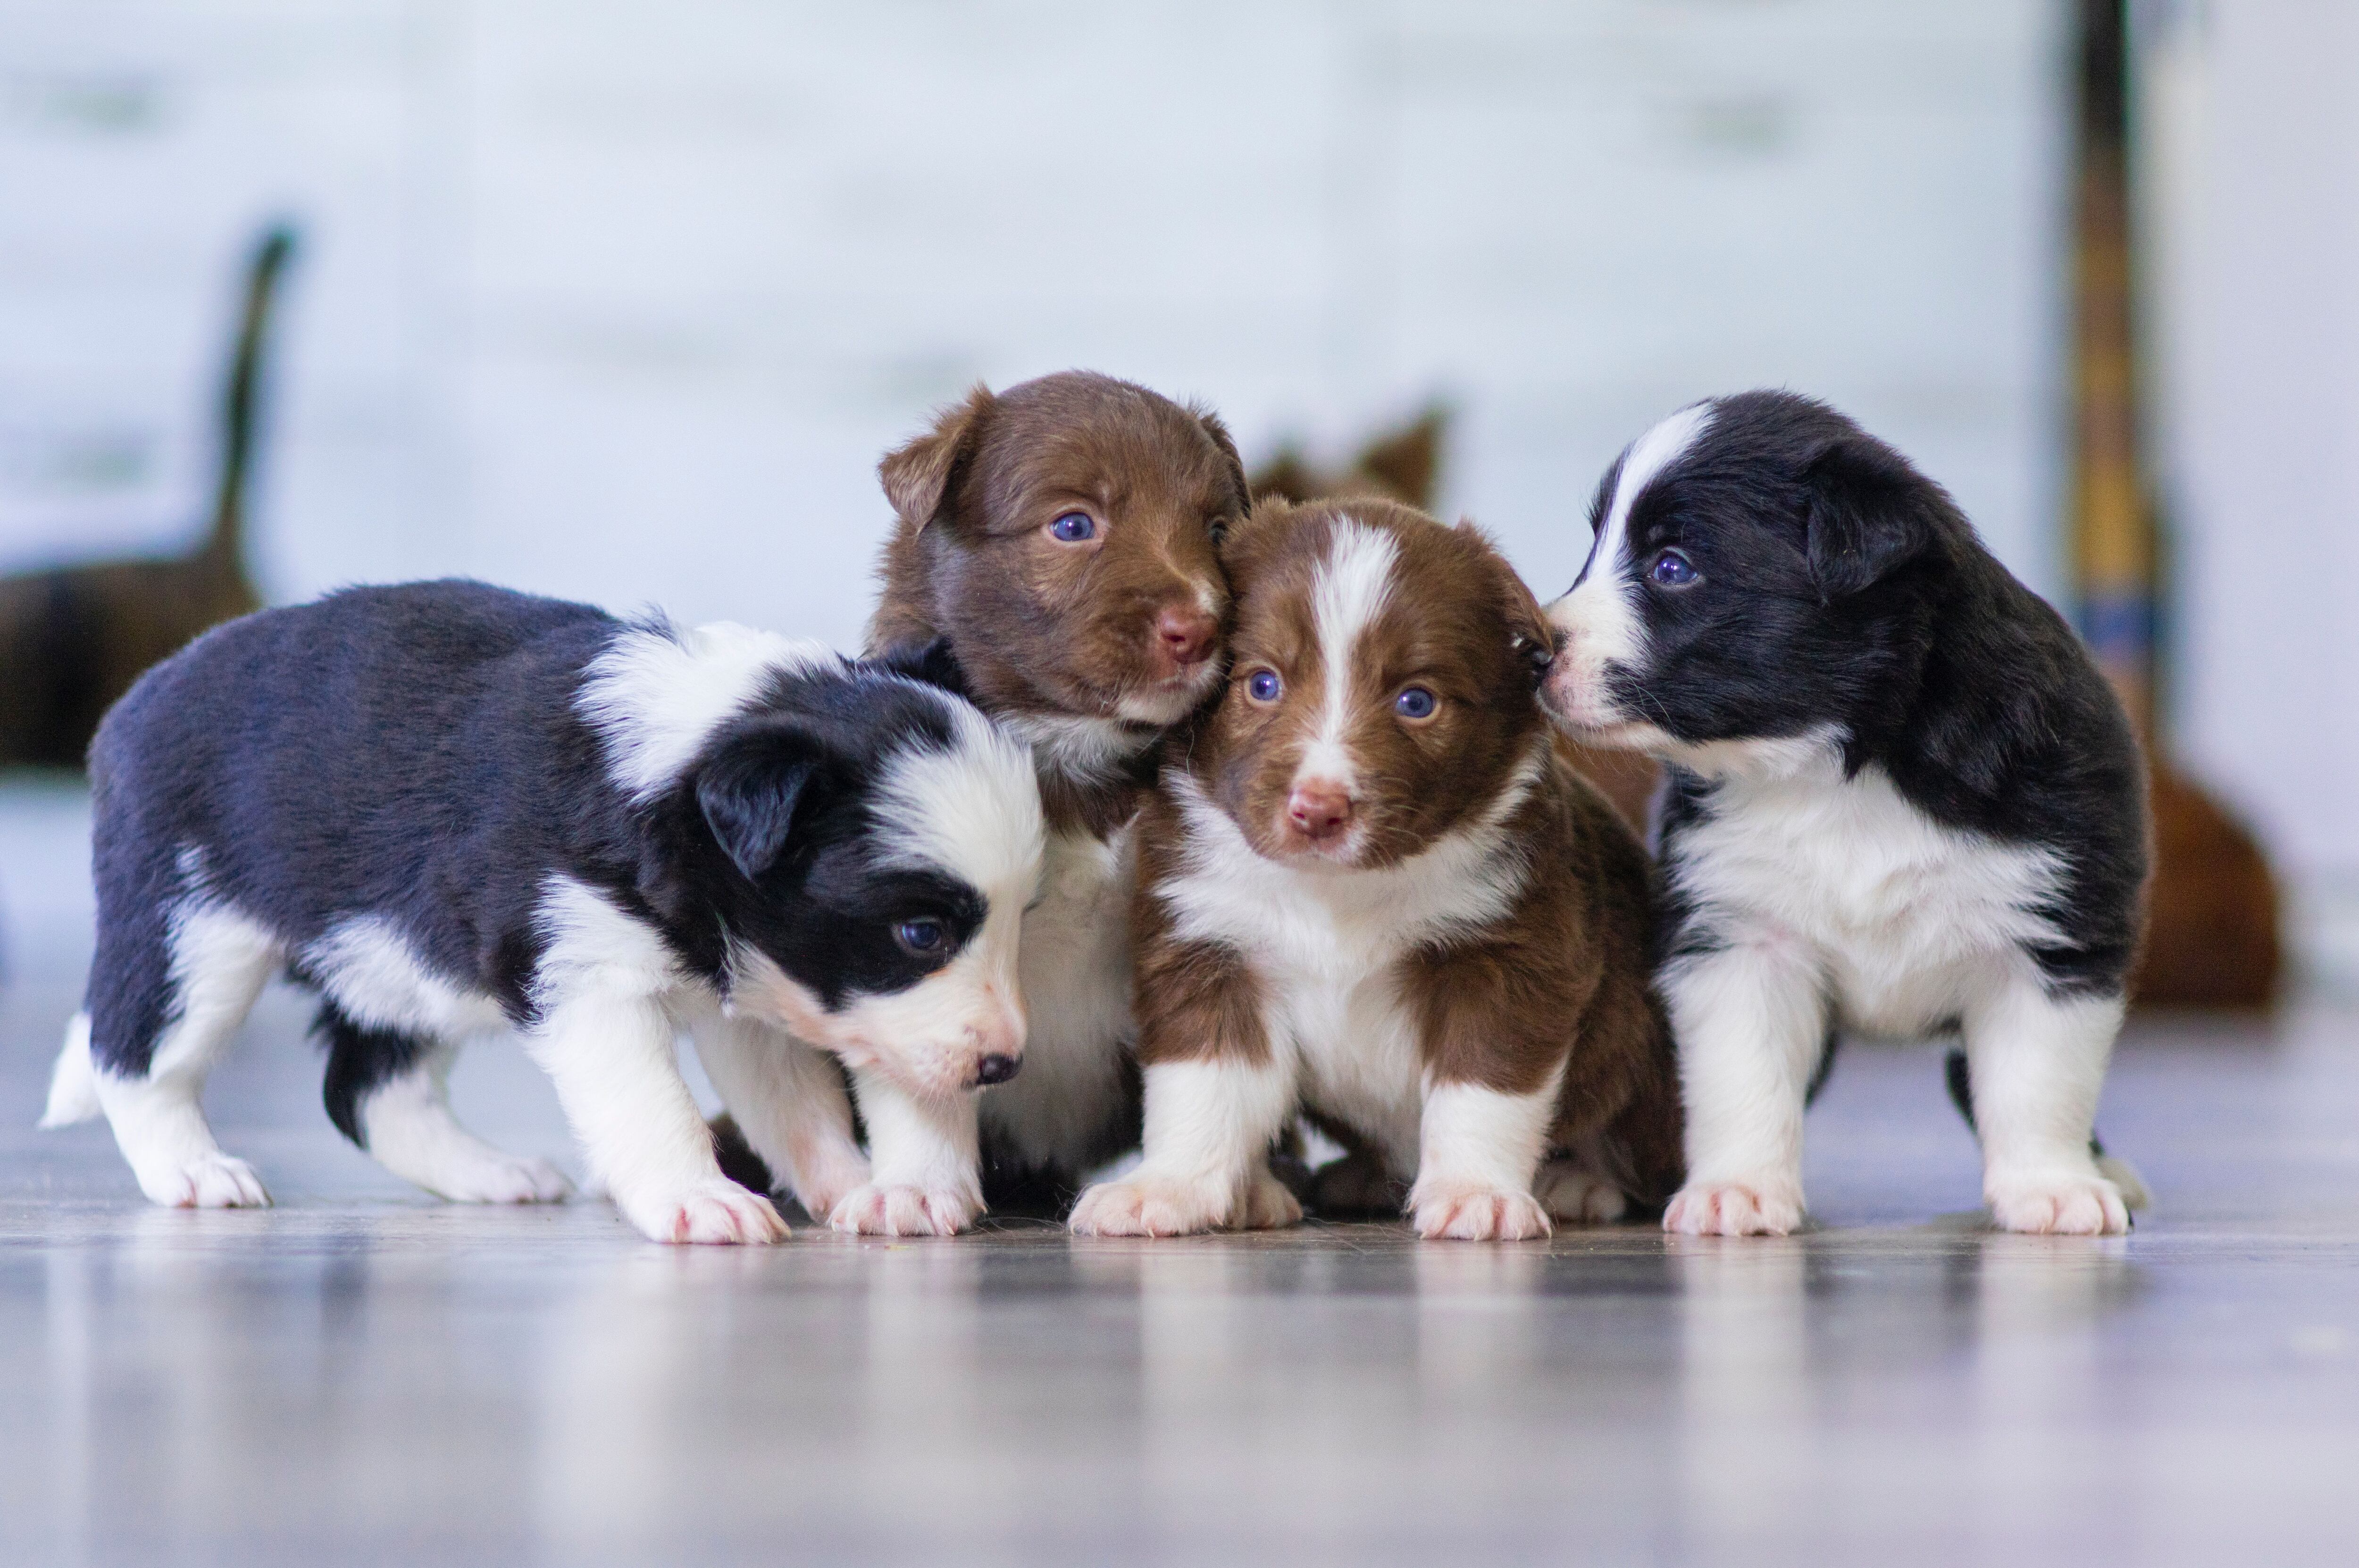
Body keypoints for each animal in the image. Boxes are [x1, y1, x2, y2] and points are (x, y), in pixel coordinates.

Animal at [32, 580, 1047, 1245]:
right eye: (920, 934)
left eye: (1021, 919)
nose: (1004, 1065)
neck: (683, 769)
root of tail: (137, 699)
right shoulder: (586, 977)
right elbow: (653, 1105)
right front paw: (699, 1200)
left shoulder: (755, 990)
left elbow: (795, 1106)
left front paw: (860, 1189)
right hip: (195, 924)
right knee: (136, 1054)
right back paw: (193, 1171)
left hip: (401, 960)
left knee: (366, 1089)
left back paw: (488, 1173)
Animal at [1071, 497, 1680, 1235]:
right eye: (1262, 684)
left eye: (1416, 701)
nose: (1317, 811)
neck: (1338, 890)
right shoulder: (1208, 946)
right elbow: (1201, 1083)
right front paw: (1164, 1187)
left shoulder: (1509, 952)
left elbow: (1482, 1088)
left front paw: (1474, 1194)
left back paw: (1578, 1183)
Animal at [1538, 391, 2151, 1235]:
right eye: (1594, 547)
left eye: (1673, 567)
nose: (1534, 648)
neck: (1835, 769)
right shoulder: (1740, 938)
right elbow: (1742, 1078)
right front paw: (1738, 1189)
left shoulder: (2052, 935)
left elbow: (2037, 1082)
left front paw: (2052, 1188)